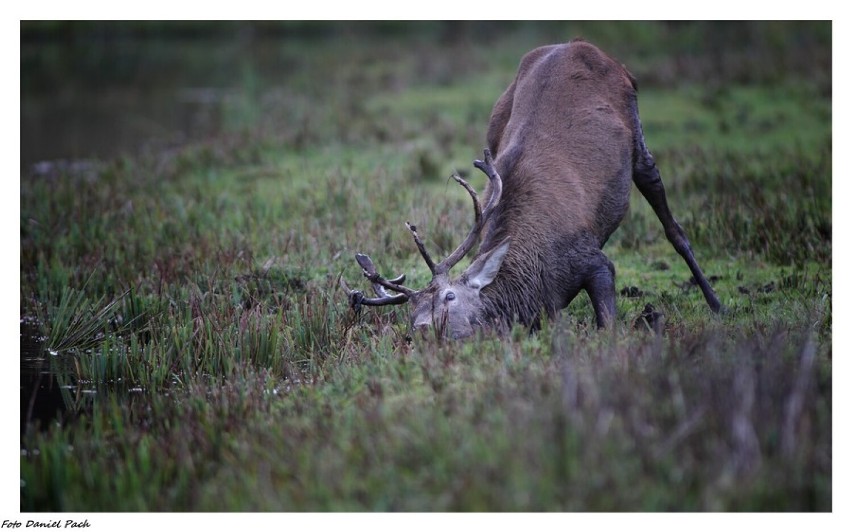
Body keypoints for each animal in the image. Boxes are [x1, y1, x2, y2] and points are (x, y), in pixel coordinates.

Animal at [340, 41, 720, 340]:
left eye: (449, 297)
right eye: (412, 312)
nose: (419, 332)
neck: (538, 284)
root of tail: (583, 45)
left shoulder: (593, 260)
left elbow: (608, 326)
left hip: (637, 133)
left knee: (670, 219)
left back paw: (716, 303)